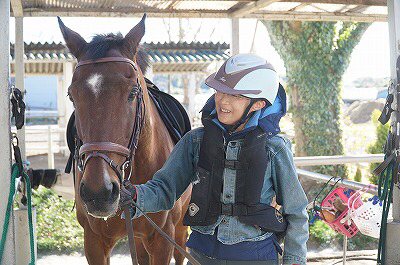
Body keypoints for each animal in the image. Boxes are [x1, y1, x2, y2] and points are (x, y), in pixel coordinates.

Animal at [57, 14, 192, 264]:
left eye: (132, 94)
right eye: (72, 95)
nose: (98, 192)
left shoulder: (163, 239)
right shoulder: (94, 242)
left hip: (178, 229)